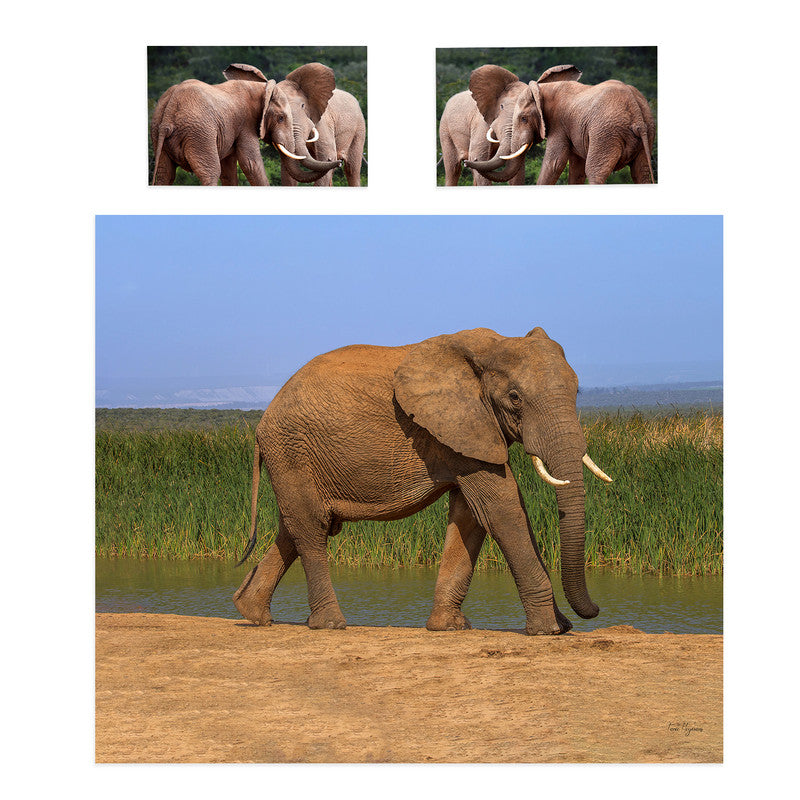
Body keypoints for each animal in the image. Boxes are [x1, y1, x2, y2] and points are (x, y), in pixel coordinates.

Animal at [150, 62, 341, 185]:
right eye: (280, 118)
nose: (336, 161)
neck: (262, 89)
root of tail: (169, 111)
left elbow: (229, 170)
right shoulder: (246, 123)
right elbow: (251, 164)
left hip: (158, 130)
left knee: (164, 175)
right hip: (199, 134)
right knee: (210, 173)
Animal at [233, 326, 614, 636]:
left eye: (578, 393)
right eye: (515, 398)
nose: (594, 610)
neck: (492, 346)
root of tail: (263, 421)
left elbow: (472, 515)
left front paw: (449, 627)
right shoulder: (458, 423)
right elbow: (502, 509)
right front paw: (549, 630)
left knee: (296, 526)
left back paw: (252, 613)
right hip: (291, 450)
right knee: (311, 527)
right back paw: (330, 624)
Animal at [440, 64, 655, 185]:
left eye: (524, 119)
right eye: (501, 107)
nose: (470, 161)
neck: (542, 89)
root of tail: (636, 110)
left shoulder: (558, 123)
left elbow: (555, 163)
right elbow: (575, 169)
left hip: (606, 132)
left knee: (596, 171)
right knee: (642, 173)